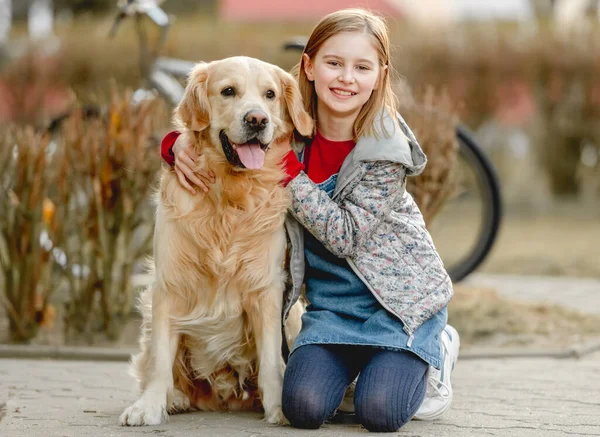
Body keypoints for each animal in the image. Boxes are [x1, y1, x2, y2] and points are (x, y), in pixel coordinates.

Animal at [119, 57, 312, 426]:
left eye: (270, 94)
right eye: (228, 91)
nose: (257, 119)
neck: (229, 196)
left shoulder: (267, 287)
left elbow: (271, 359)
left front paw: (279, 406)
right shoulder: (169, 285)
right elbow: (161, 359)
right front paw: (148, 407)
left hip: (294, 312)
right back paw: (176, 398)